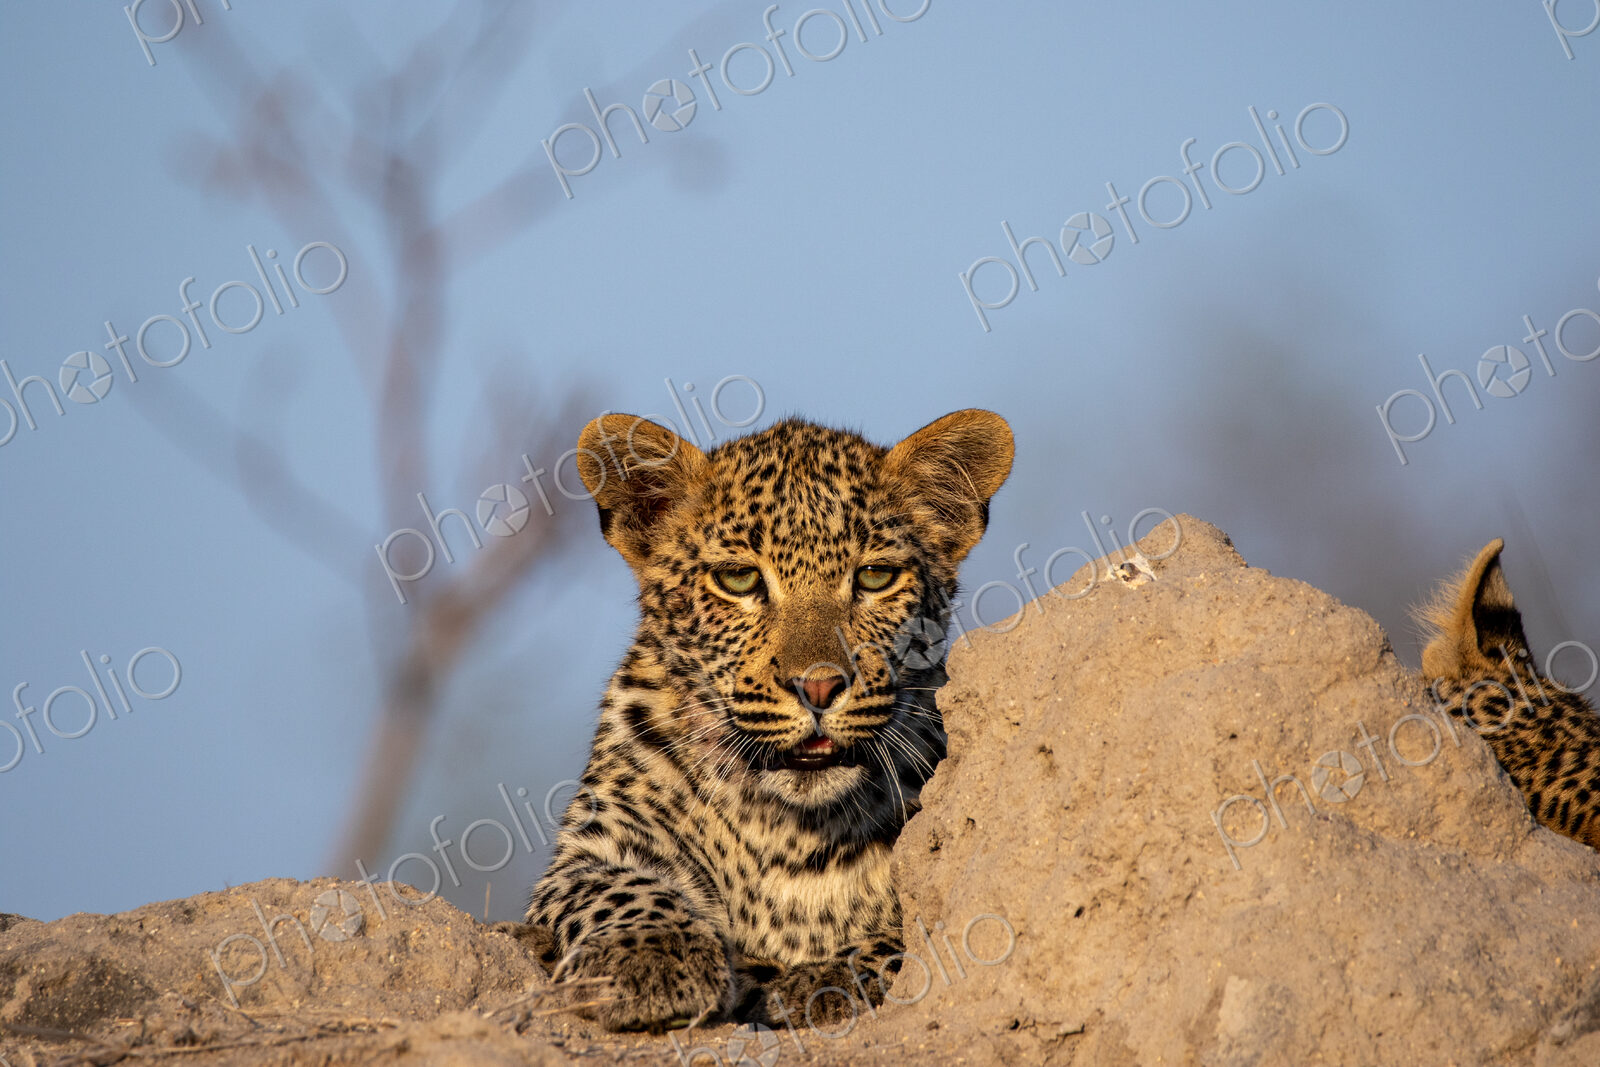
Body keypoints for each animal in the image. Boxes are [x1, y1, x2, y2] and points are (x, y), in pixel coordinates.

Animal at [520, 408, 1013, 1033]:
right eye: (738, 580)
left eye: (875, 577)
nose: (818, 686)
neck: (784, 828)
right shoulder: (595, 845)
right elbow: (618, 888)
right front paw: (652, 959)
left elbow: (907, 929)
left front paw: (829, 975)